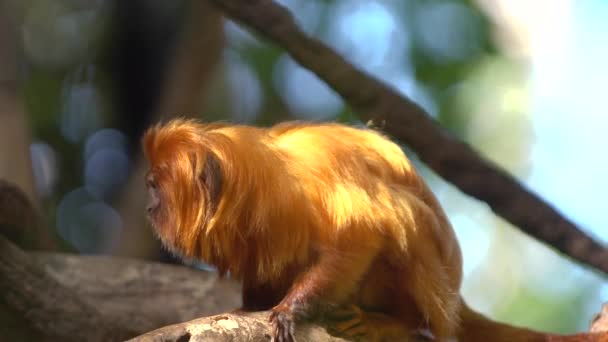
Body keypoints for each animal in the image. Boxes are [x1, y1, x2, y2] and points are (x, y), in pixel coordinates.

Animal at [142, 118, 608, 342]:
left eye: (154, 186)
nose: (147, 205)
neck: (263, 181)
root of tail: (455, 292)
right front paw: (248, 310)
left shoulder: (317, 183)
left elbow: (362, 234)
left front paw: (290, 309)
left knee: (405, 218)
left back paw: (397, 325)